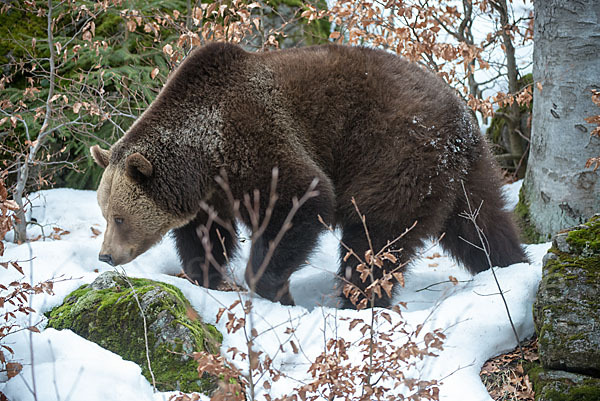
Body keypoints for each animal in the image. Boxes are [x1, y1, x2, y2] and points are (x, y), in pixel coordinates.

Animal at [91, 42, 528, 308]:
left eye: (119, 217)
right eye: (106, 213)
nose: (106, 255)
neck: (205, 153)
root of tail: (461, 119)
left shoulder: (256, 141)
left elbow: (302, 200)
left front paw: (270, 287)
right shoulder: (211, 193)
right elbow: (207, 237)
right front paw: (207, 277)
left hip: (395, 153)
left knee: (374, 237)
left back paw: (359, 301)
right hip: (466, 170)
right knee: (481, 223)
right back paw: (510, 265)